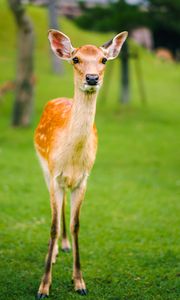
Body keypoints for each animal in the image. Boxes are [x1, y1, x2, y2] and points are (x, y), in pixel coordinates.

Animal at [34, 29, 127, 298]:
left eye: (104, 59)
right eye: (76, 59)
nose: (92, 77)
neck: (73, 158)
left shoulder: (84, 178)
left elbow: (76, 225)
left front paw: (80, 283)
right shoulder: (54, 173)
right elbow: (53, 225)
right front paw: (44, 287)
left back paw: (64, 246)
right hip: (44, 167)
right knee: (55, 211)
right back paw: (56, 251)